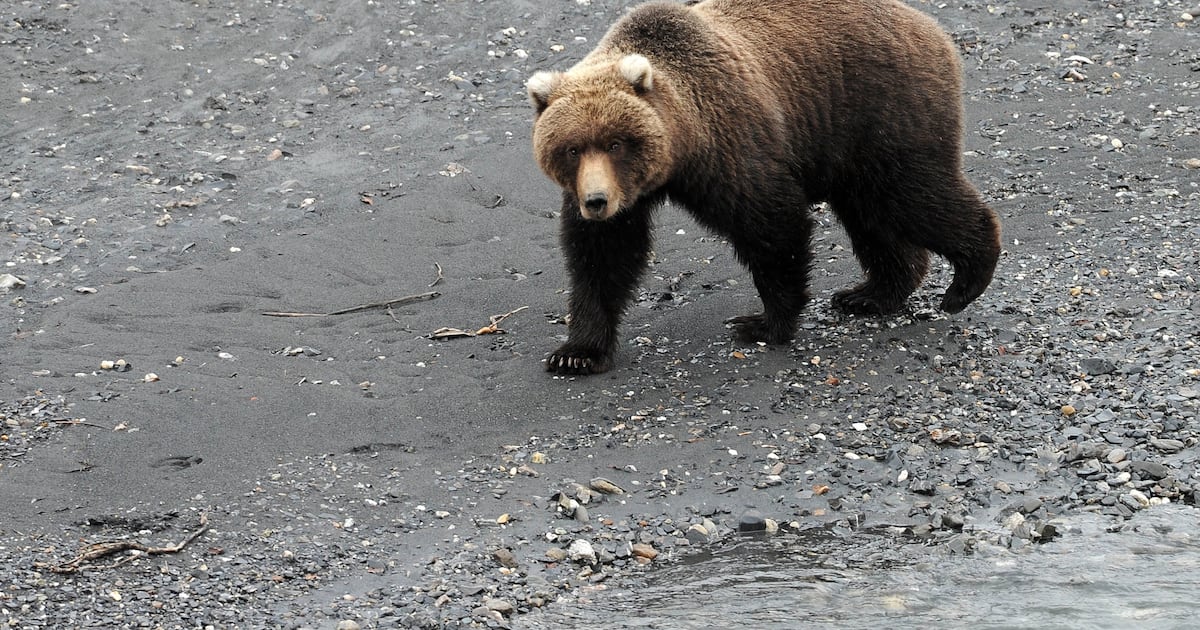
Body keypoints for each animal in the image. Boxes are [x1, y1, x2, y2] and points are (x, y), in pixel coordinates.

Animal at [528, 0, 1001, 375]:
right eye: (571, 148)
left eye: (616, 142)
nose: (597, 201)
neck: (682, 148)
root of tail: (931, 26)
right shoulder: (622, 196)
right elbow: (603, 256)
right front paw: (576, 353)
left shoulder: (731, 141)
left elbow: (771, 224)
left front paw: (762, 323)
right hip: (851, 146)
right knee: (871, 214)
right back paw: (869, 294)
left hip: (882, 111)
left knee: (913, 195)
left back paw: (965, 280)